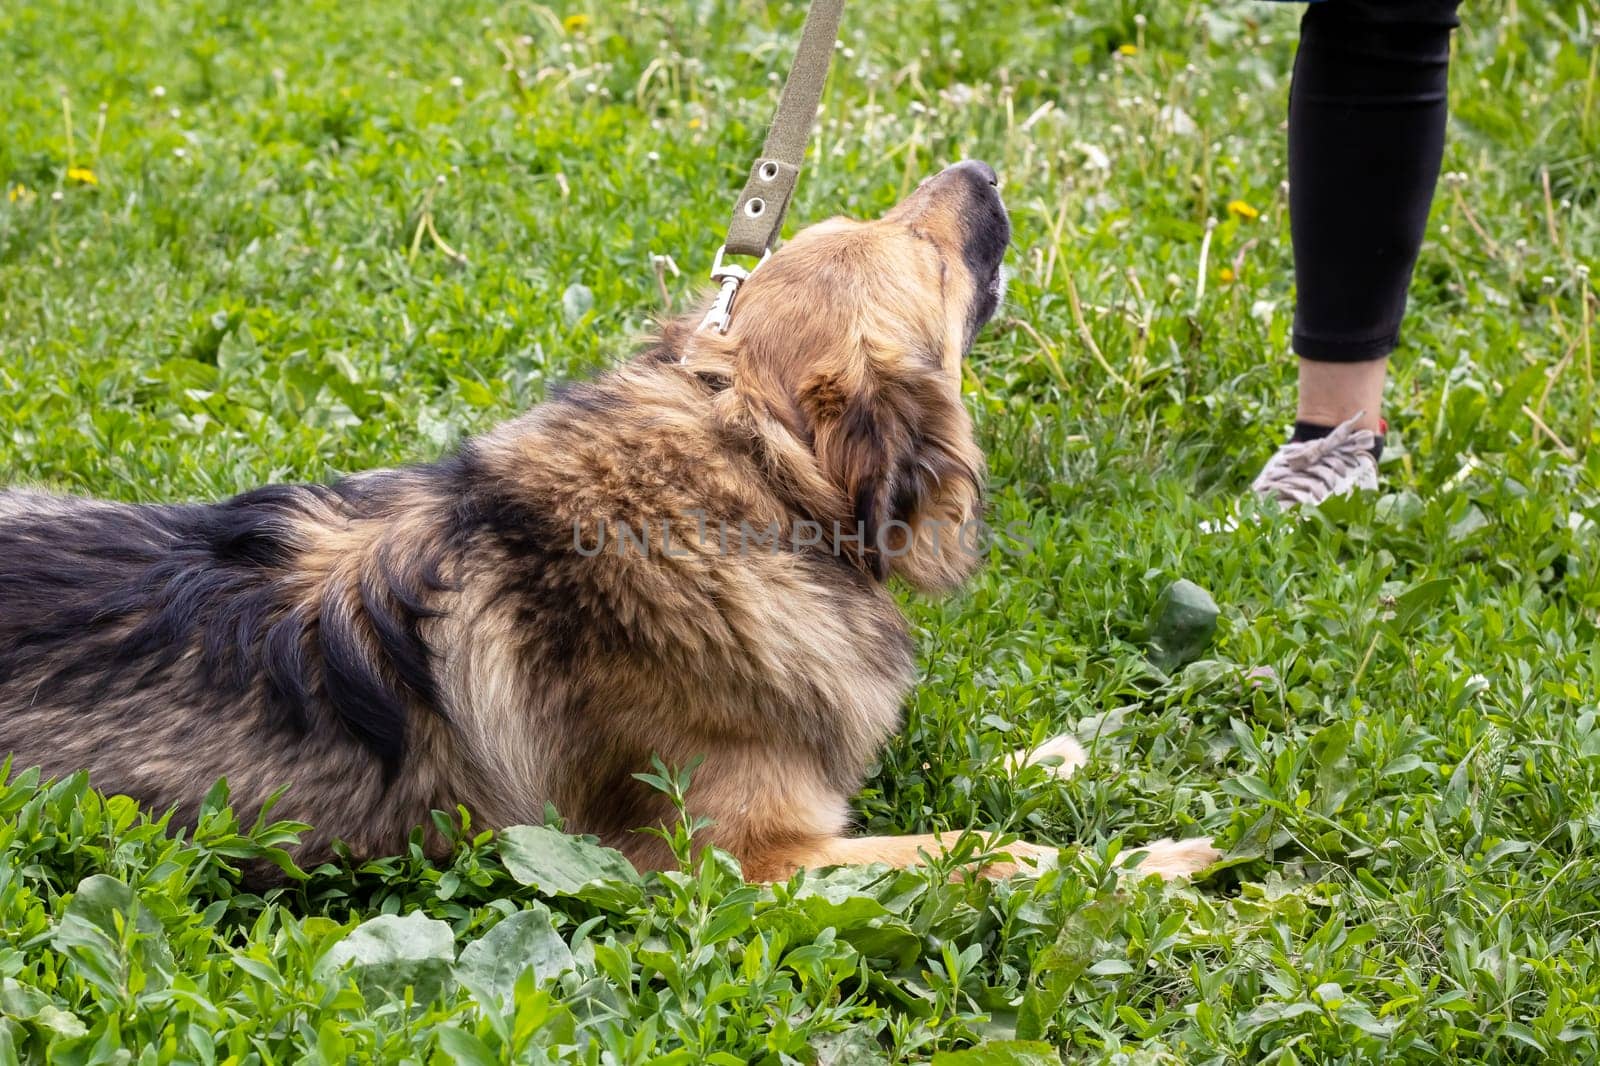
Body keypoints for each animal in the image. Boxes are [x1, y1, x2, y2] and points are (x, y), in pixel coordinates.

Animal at [0, 164, 1209, 877]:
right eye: (917, 249)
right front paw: (1165, 864)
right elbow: (981, 847)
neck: (752, 476)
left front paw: (1063, 757)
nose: (982, 172)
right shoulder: (749, 860)